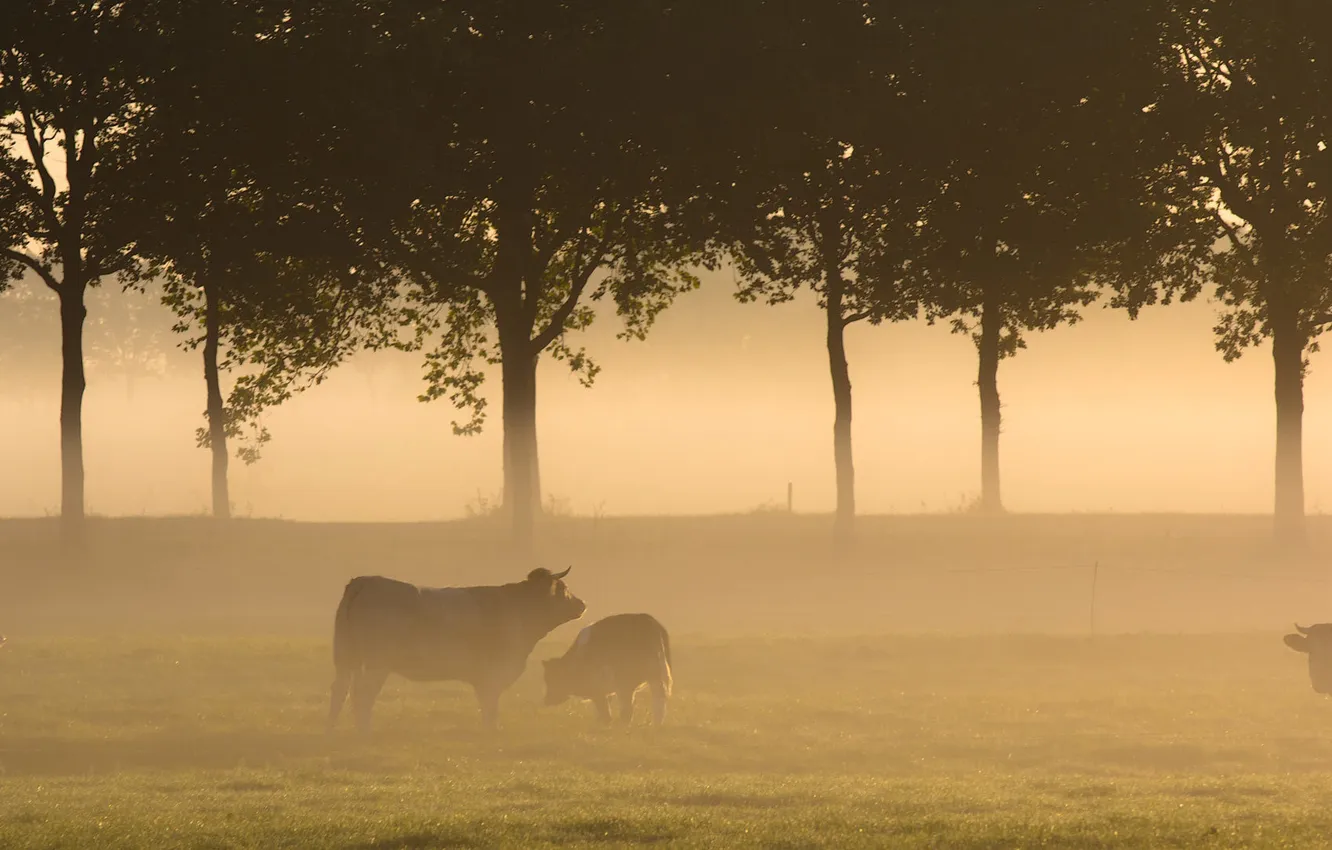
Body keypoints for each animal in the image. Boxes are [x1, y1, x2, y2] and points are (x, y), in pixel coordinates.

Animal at [326, 564, 583, 735]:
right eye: (563, 588)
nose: (582, 604)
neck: (517, 609)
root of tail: (366, 581)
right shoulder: (494, 672)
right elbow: (490, 703)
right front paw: (492, 730)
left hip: (346, 657)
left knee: (340, 690)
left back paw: (333, 728)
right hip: (377, 663)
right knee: (363, 693)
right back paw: (364, 731)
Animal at [540, 612, 671, 724]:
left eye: (552, 678)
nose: (546, 701)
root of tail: (647, 619)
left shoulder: (597, 686)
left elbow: (603, 707)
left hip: (631, 676)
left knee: (631, 705)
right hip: (654, 675)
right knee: (659, 697)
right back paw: (656, 724)